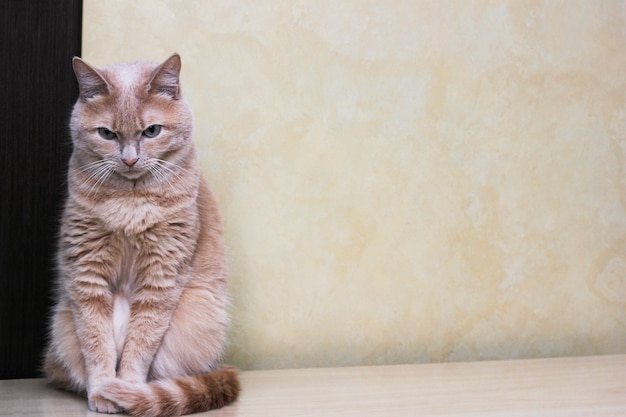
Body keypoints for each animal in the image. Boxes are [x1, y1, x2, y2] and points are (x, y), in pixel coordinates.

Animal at [43, 53, 239, 414]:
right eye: (107, 133)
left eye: (152, 131)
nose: (130, 160)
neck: (130, 201)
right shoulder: (87, 275)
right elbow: (96, 344)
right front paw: (102, 391)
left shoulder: (161, 277)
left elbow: (141, 341)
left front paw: (128, 391)